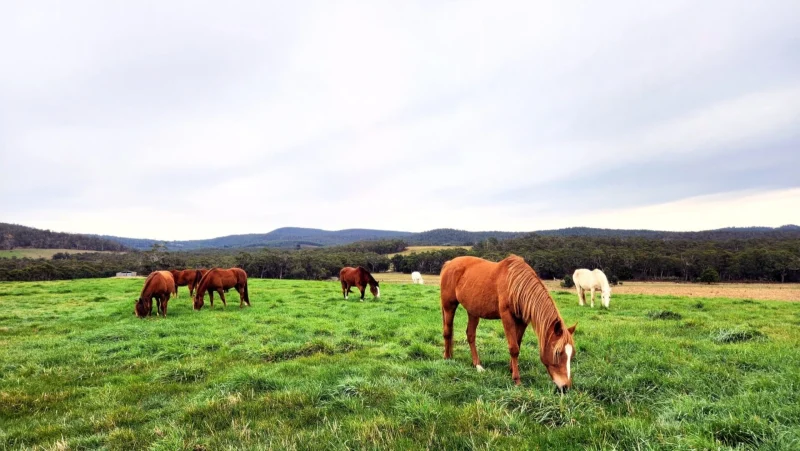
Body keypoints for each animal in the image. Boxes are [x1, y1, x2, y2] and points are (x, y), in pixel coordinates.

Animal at [440, 255, 577, 390]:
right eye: (558, 353)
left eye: (572, 355)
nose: (566, 387)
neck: (516, 285)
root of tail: (449, 264)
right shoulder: (507, 316)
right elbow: (513, 348)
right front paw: (516, 379)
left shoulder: (522, 321)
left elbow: (518, 344)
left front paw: (511, 369)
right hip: (449, 306)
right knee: (448, 331)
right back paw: (447, 357)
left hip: (473, 311)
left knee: (470, 335)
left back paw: (477, 365)